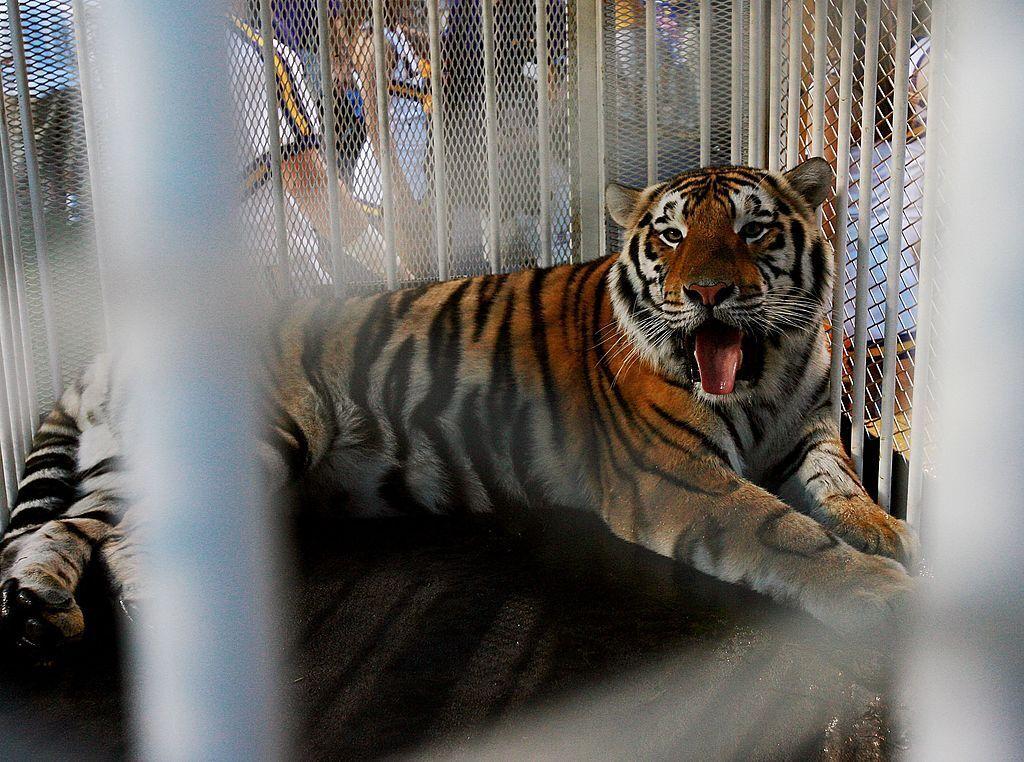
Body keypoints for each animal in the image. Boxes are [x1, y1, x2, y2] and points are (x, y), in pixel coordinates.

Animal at [0, 158, 913, 655]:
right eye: (670, 237)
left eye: (755, 232)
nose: (708, 292)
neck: (764, 375)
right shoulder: (676, 477)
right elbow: (784, 531)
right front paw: (883, 591)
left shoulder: (806, 432)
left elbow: (840, 487)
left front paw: (890, 531)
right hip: (258, 437)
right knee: (123, 537)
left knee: (67, 527)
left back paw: (42, 609)